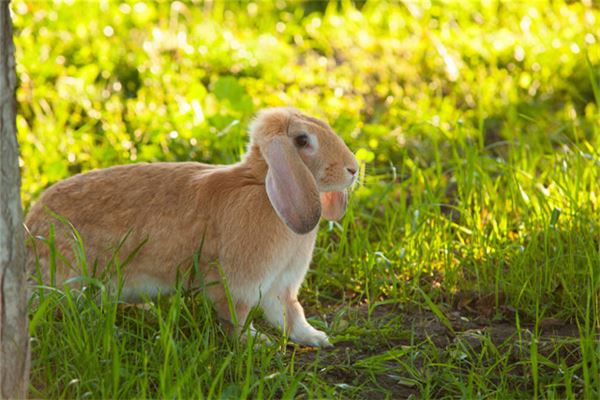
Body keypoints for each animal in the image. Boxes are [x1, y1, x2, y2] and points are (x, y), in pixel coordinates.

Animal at [25, 106, 358, 346]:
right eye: (303, 140)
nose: (353, 169)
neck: (261, 188)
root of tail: (31, 230)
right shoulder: (238, 284)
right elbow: (235, 317)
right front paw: (257, 343)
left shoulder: (282, 285)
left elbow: (291, 314)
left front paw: (317, 338)